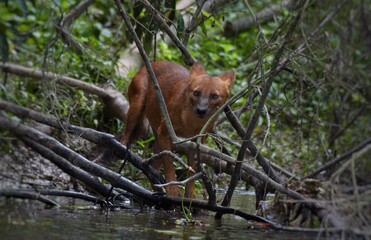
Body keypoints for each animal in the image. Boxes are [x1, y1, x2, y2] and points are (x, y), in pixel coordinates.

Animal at [122, 61, 235, 198]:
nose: (201, 110)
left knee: (153, 167)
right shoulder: (165, 132)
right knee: (124, 136)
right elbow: (169, 163)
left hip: (158, 138)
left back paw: (158, 189)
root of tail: (152, 63)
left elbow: (192, 170)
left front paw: (190, 195)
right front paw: (173, 191)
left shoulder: (197, 143)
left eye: (214, 96)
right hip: (137, 106)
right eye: (196, 93)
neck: (191, 123)